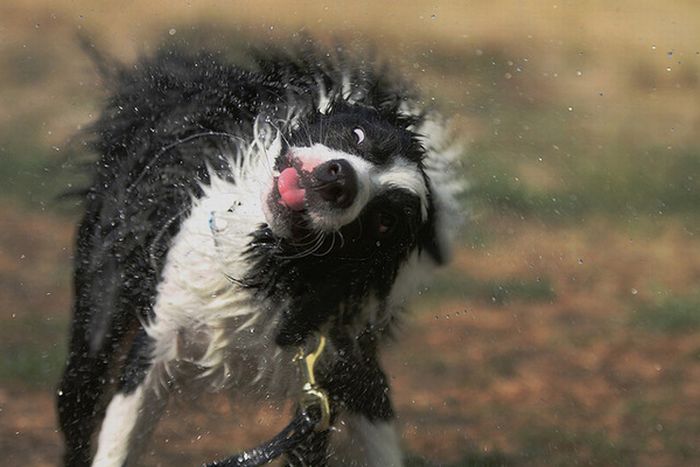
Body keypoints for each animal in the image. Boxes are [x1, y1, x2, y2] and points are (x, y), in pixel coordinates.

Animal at [57, 41, 464, 467]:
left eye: (384, 221)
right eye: (357, 135)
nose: (340, 180)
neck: (266, 262)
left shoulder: (319, 386)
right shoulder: (158, 338)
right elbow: (117, 442)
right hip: (96, 330)